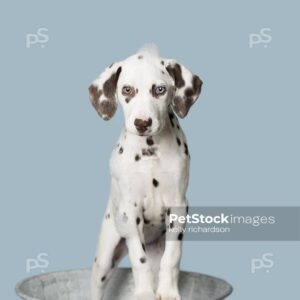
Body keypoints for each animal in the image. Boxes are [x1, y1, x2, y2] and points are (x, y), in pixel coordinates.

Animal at [88, 45, 203, 300]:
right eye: (127, 89)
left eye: (160, 89)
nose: (142, 123)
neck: (150, 150)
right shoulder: (130, 212)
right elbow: (138, 260)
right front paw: (143, 293)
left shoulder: (178, 206)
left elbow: (172, 257)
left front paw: (168, 292)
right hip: (106, 256)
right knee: (98, 282)